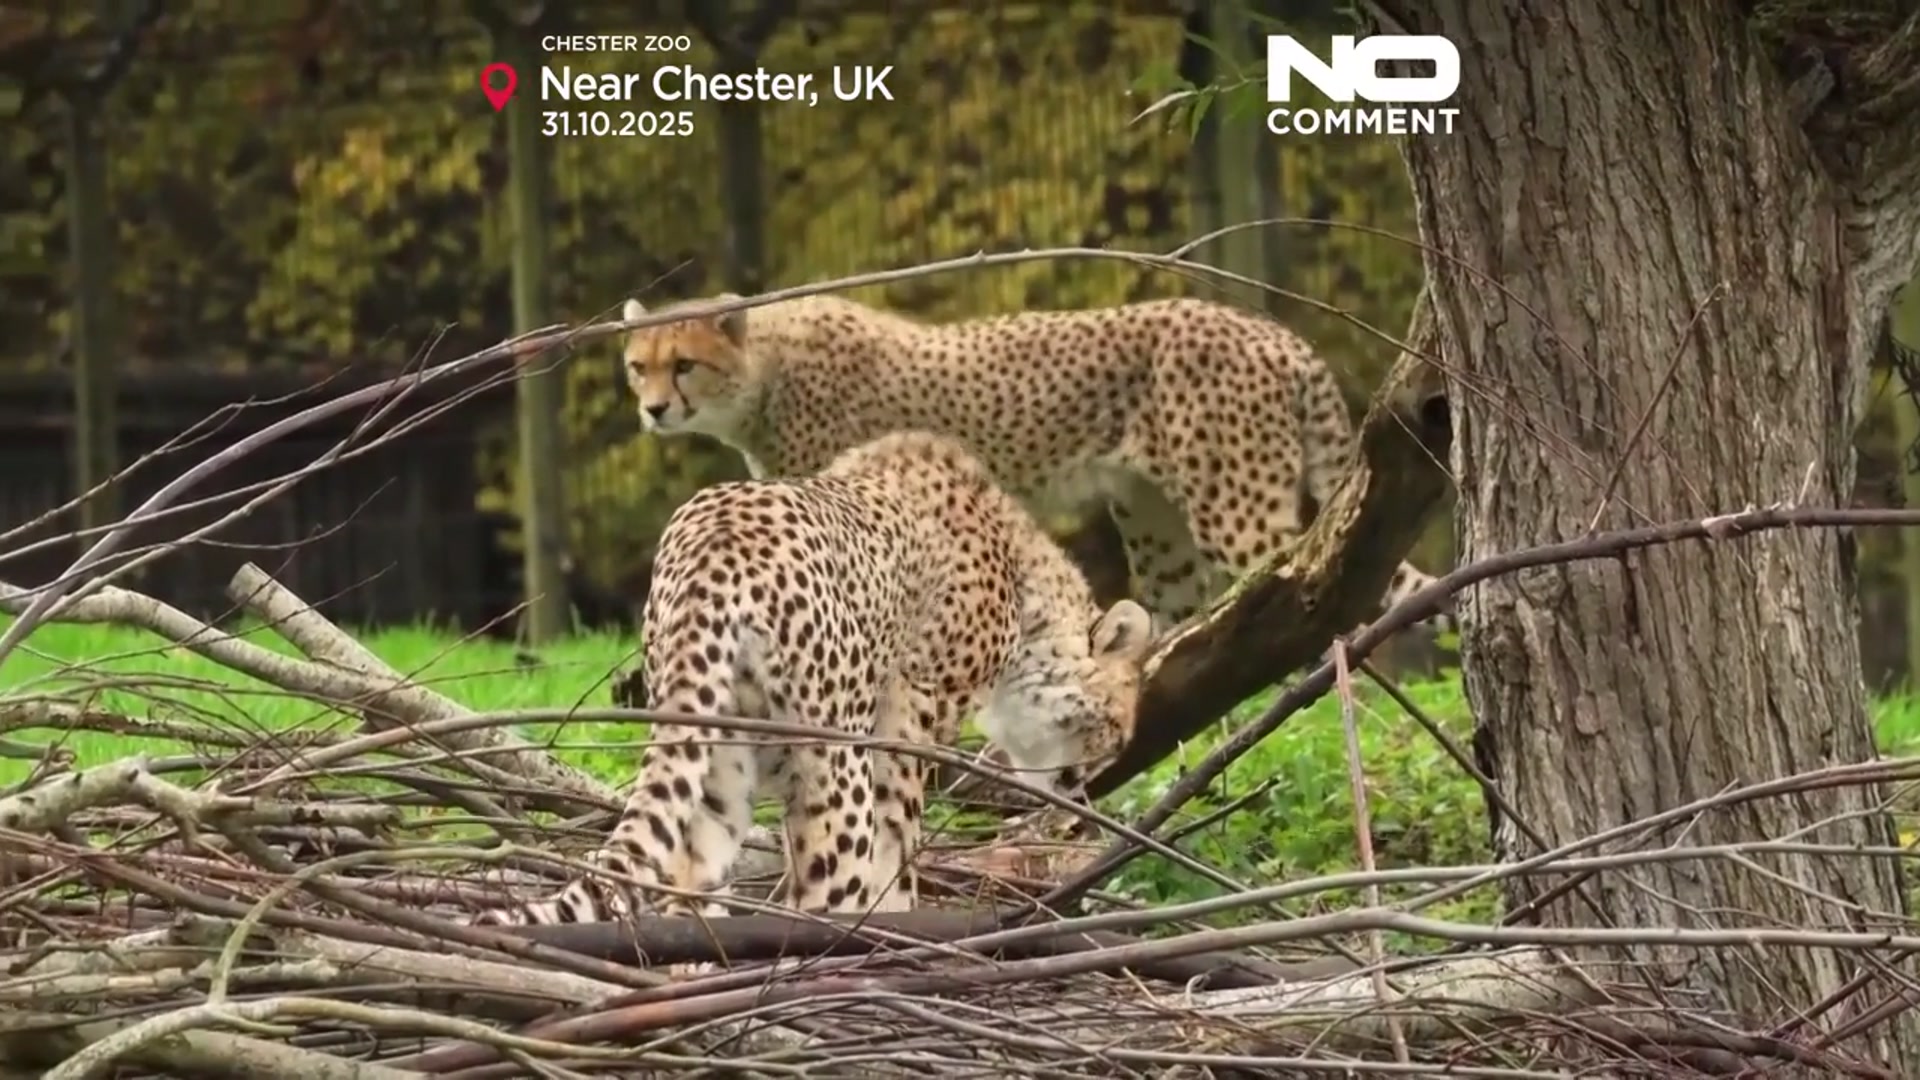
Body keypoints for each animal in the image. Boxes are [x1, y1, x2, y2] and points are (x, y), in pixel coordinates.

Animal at [471, 431, 1154, 929]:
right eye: (1115, 729)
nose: (1084, 787)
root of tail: (716, 538)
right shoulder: (909, 716)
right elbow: (898, 842)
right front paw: (898, 920)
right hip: (835, 760)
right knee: (826, 888)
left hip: (712, 755)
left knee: (690, 884)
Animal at [616, 291, 1453, 637]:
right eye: (637, 366)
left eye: (683, 364)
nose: (653, 409)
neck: (762, 370)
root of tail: (1270, 329)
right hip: (1153, 517)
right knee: (1181, 621)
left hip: (1234, 507)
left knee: (1307, 589)